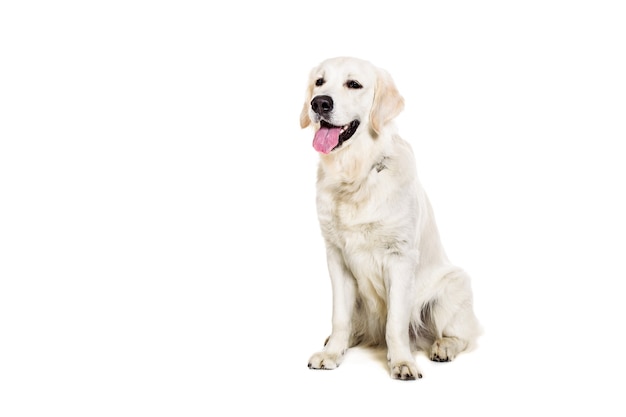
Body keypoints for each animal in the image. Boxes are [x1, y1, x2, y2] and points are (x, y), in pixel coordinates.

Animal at [300, 57, 480, 378]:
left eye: (354, 84)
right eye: (319, 82)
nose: (319, 102)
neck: (357, 176)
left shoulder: (400, 257)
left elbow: (396, 321)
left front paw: (402, 362)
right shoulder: (336, 257)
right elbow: (339, 317)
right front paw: (332, 352)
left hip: (454, 284)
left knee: (462, 336)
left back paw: (443, 347)